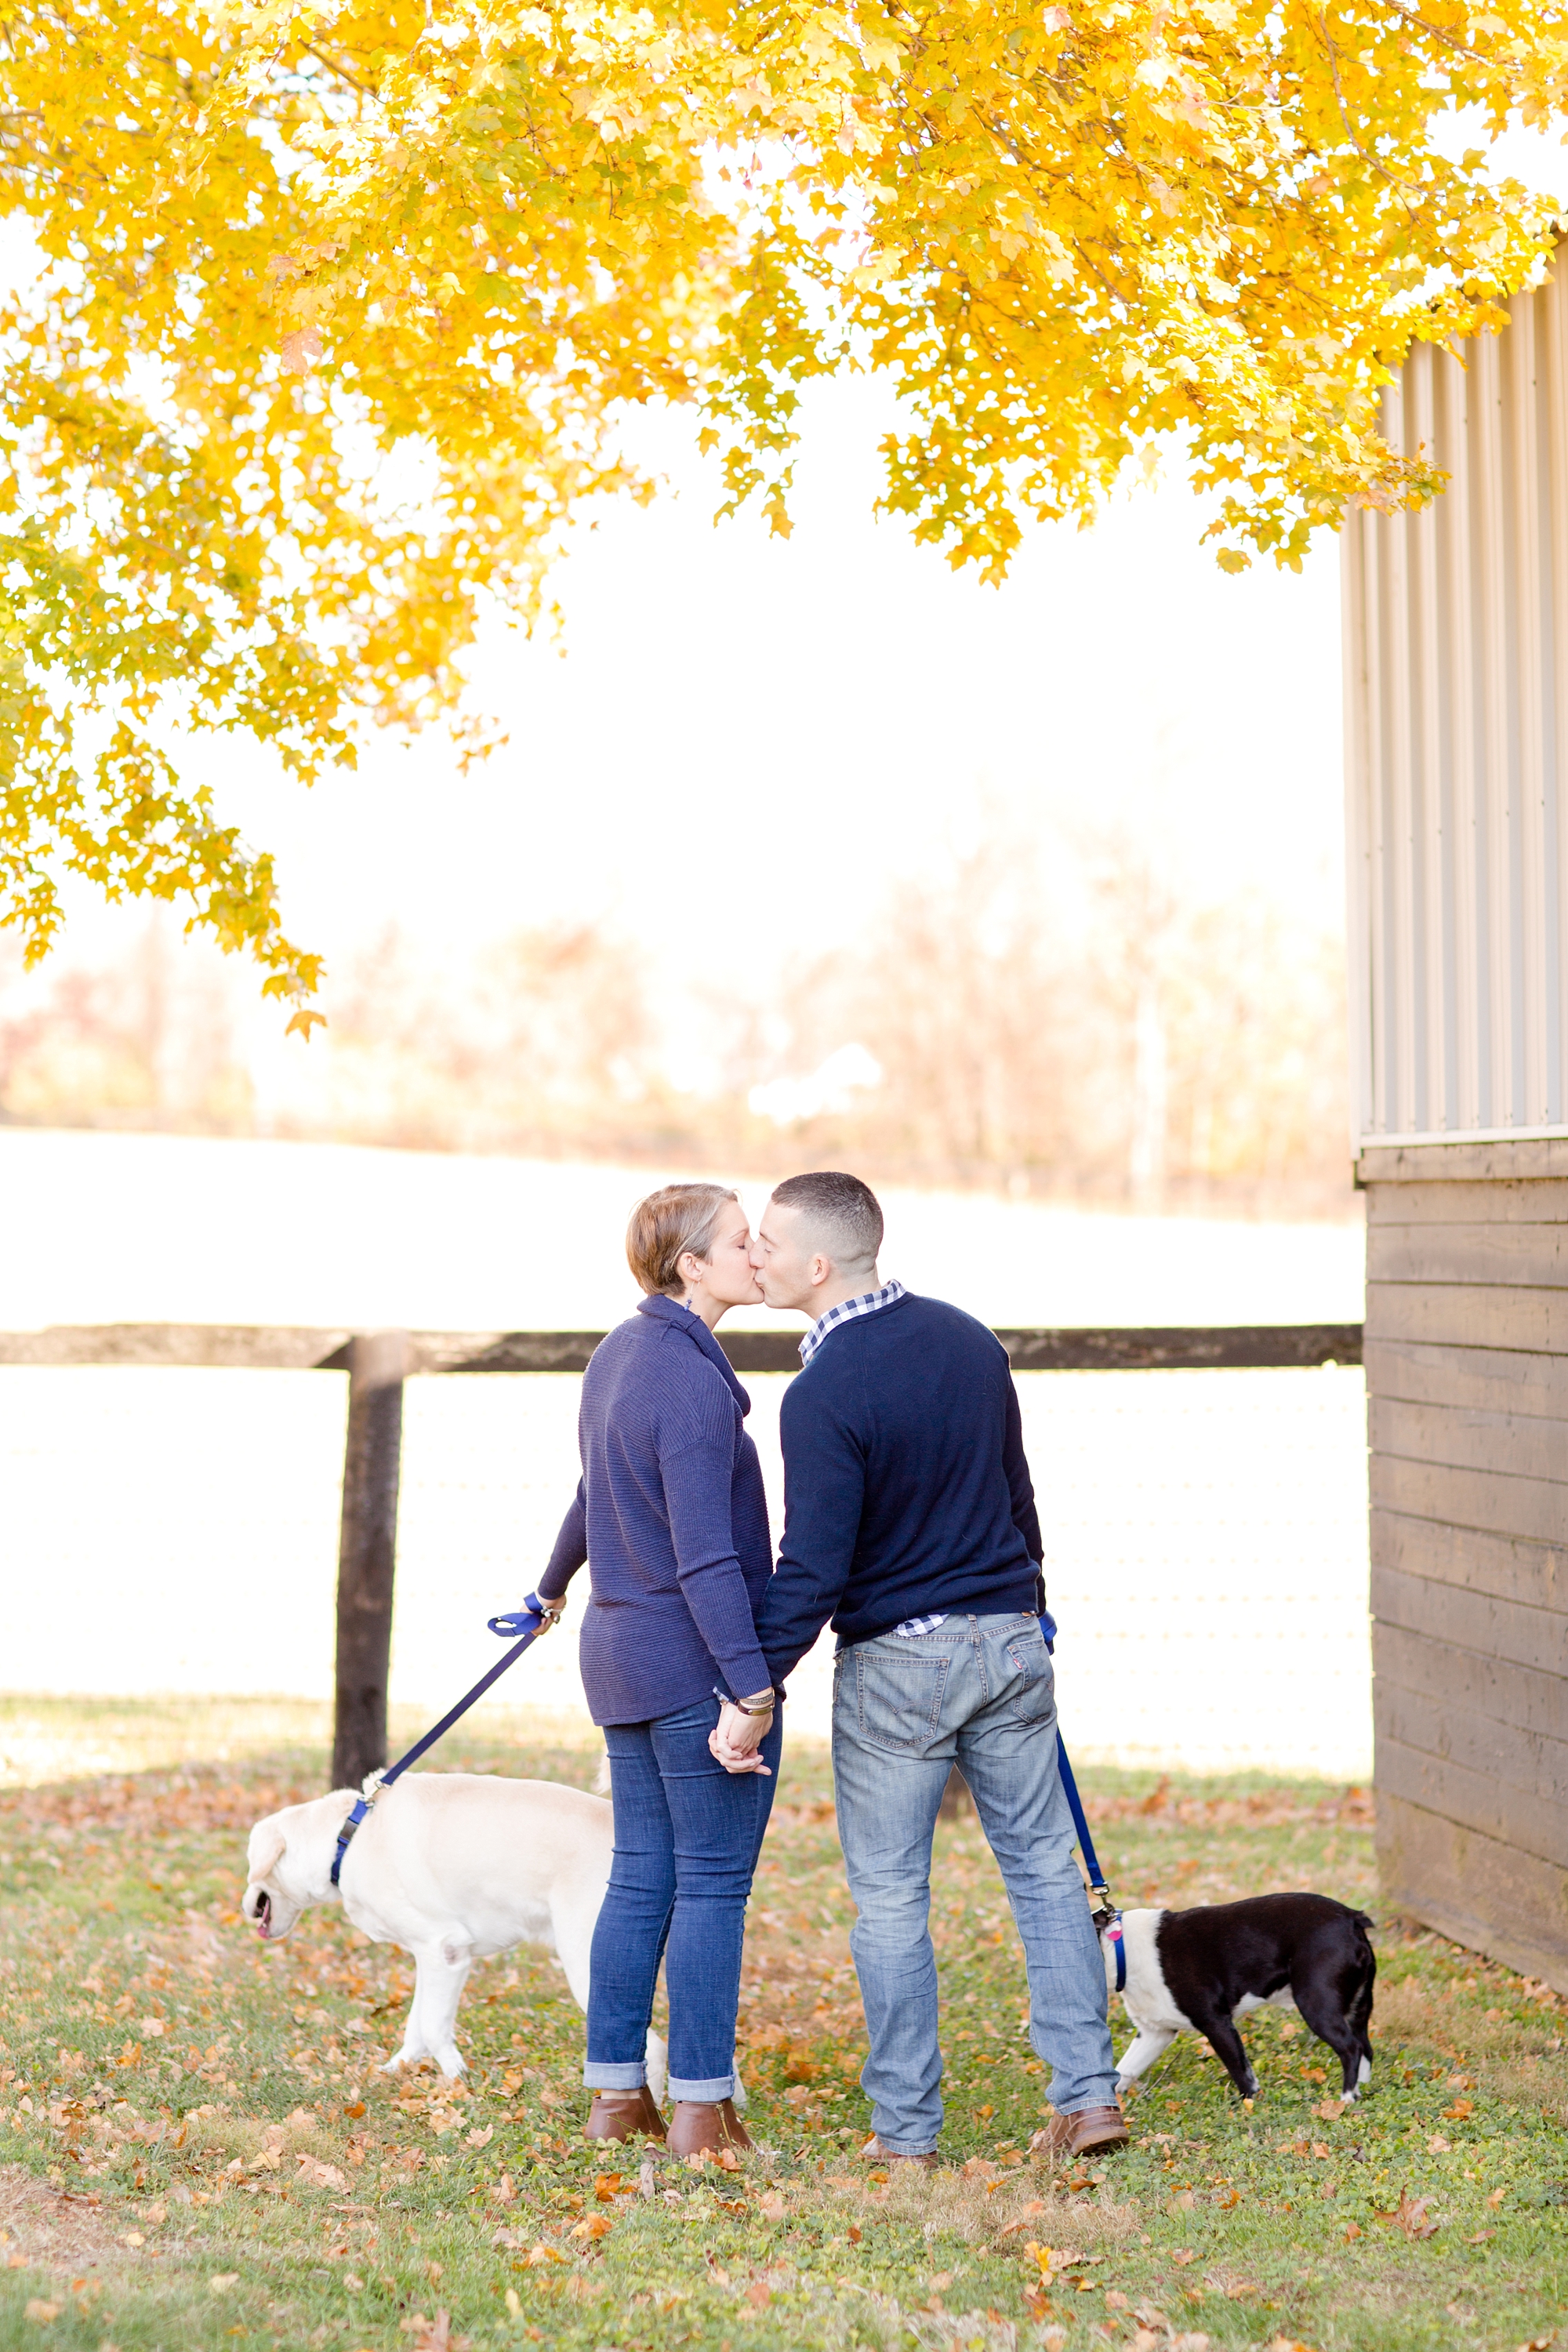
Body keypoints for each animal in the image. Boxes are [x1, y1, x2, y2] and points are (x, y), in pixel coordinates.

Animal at [241, 1769, 677, 2098]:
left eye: (248, 1864)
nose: (244, 1908)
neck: (347, 1838)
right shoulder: (429, 1958)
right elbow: (416, 2024)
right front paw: (397, 2069)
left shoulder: (444, 1951)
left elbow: (434, 2028)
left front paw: (456, 2080)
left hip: (588, 1966)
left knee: (654, 2049)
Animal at [1105, 1891, 1373, 2098]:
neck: (1122, 1949)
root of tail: (1351, 1917)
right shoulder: (1154, 2033)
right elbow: (1125, 2068)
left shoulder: (1216, 2023)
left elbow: (1241, 2070)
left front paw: (1249, 2104)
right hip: (1358, 2006)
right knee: (1364, 2046)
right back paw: (1361, 2087)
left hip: (1316, 2005)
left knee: (1351, 2048)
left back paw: (1346, 2097)